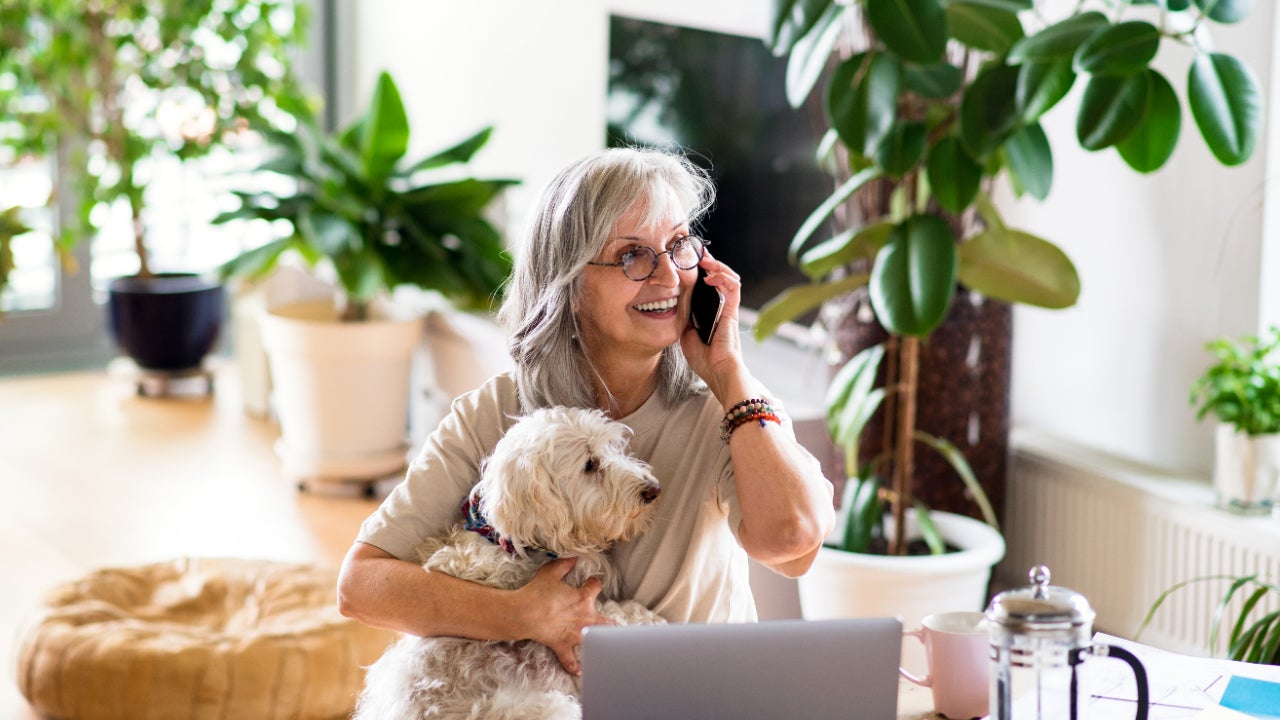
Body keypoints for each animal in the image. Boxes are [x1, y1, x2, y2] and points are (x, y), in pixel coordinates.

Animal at [355, 407, 665, 717]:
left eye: (612, 448)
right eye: (590, 465)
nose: (652, 489)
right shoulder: (577, 624)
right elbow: (618, 615)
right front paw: (650, 620)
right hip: (551, 707)